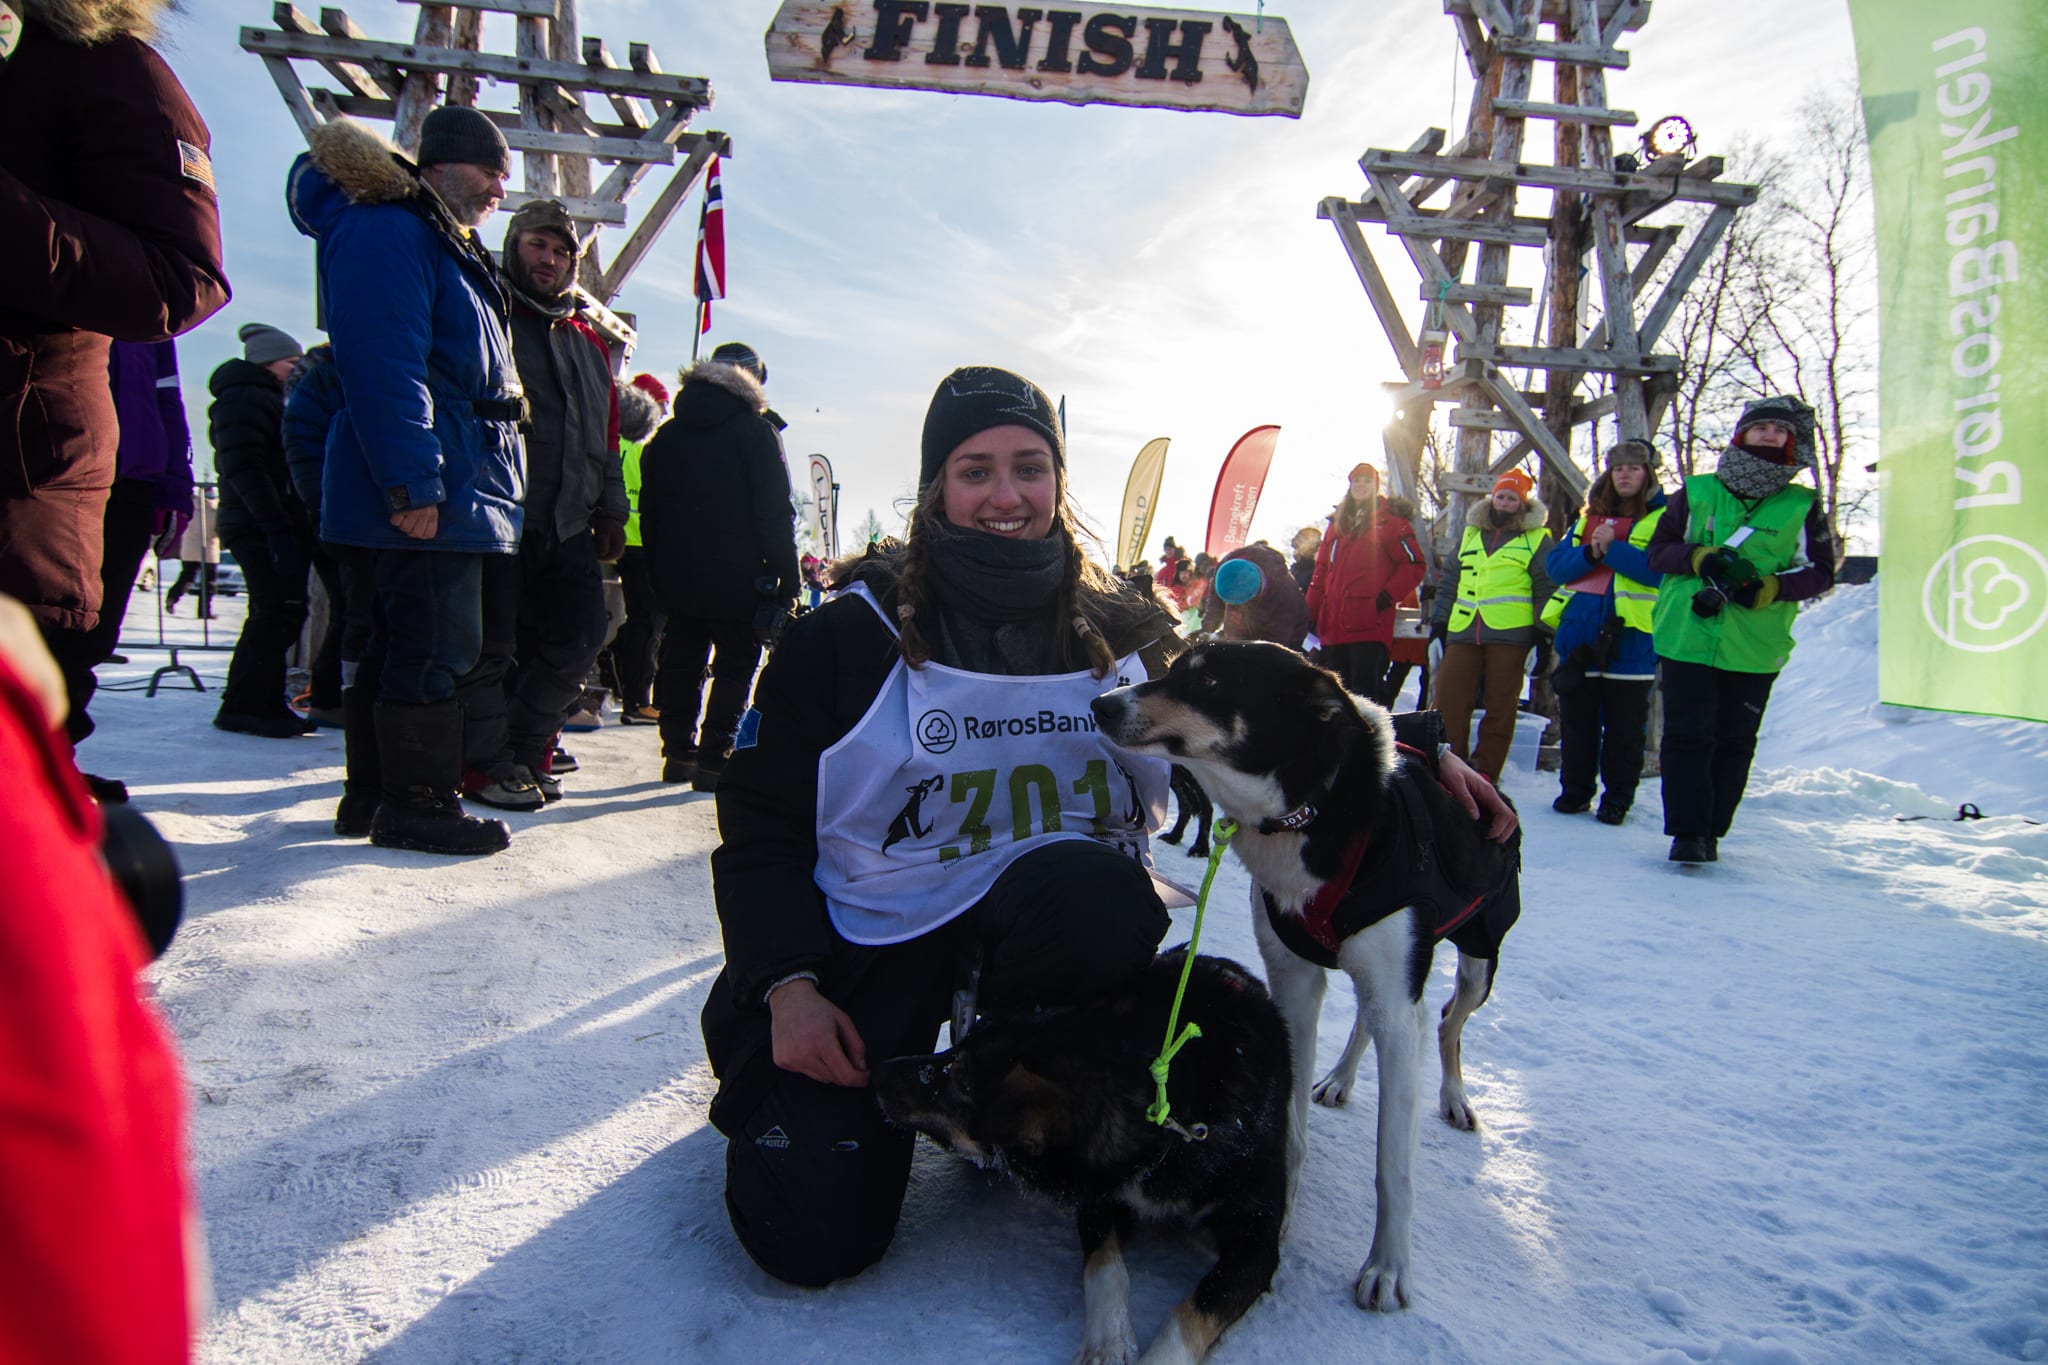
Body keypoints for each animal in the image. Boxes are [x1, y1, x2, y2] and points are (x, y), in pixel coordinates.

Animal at [874, 949, 1291, 1364]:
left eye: (956, 1077)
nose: (879, 1070)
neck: (1167, 1120)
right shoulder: (1098, 1199)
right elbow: (1105, 1268)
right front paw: (1109, 1341)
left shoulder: (1256, 1239)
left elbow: (1192, 1310)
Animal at [1092, 641, 1521, 1313]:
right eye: (1177, 666)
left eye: (1208, 681)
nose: (1101, 703)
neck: (1305, 816)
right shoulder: (1293, 987)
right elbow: (1289, 1126)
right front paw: (1280, 1206)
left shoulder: (1399, 998)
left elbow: (1392, 1163)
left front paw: (1388, 1267)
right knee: (1373, 1022)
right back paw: (1340, 1079)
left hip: (1476, 959)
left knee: (1448, 1024)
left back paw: (1453, 1097)